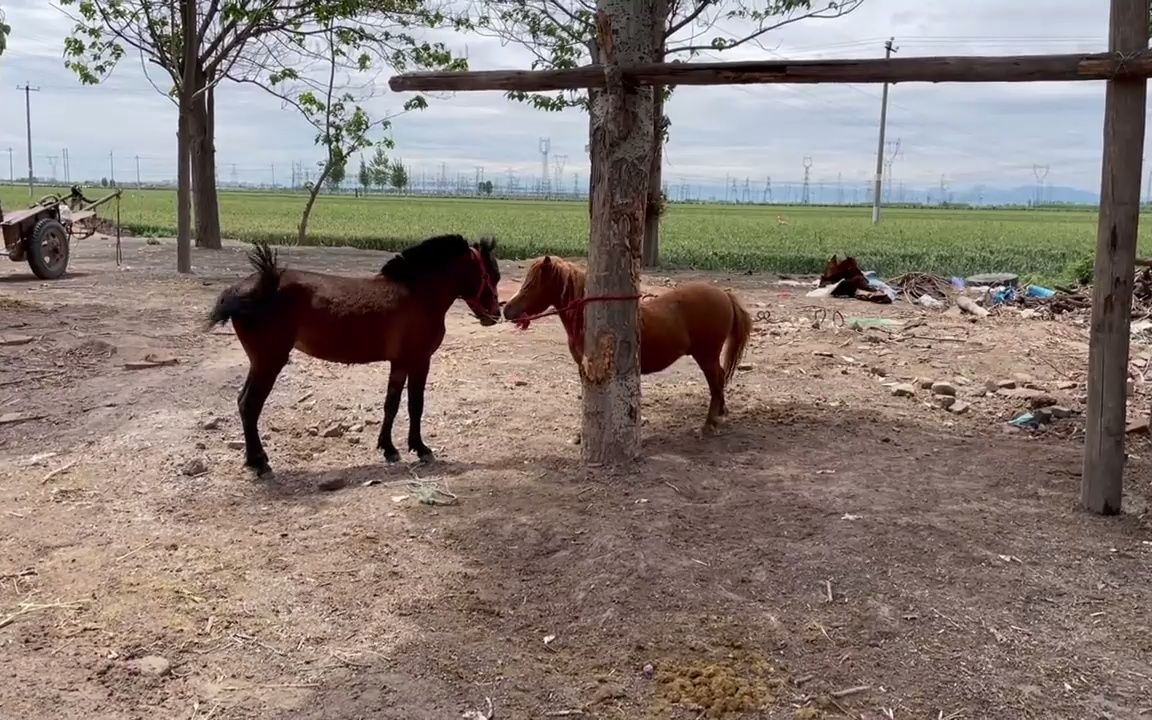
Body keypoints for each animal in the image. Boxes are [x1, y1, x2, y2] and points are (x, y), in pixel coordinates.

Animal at [206, 232, 499, 474]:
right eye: (491, 276)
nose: (495, 315)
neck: (417, 294)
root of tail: (251, 287)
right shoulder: (419, 361)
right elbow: (416, 405)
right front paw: (421, 448)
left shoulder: (399, 363)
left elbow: (391, 404)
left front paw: (389, 449)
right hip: (268, 361)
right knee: (249, 405)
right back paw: (259, 463)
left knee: (244, 402)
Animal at [504, 254, 755, 433]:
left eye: (531, 284)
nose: (507, 310)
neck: (587, 318)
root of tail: (724, 294)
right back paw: (721, 412)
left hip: (706, 354)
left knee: (716, 380)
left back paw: (710, 423)